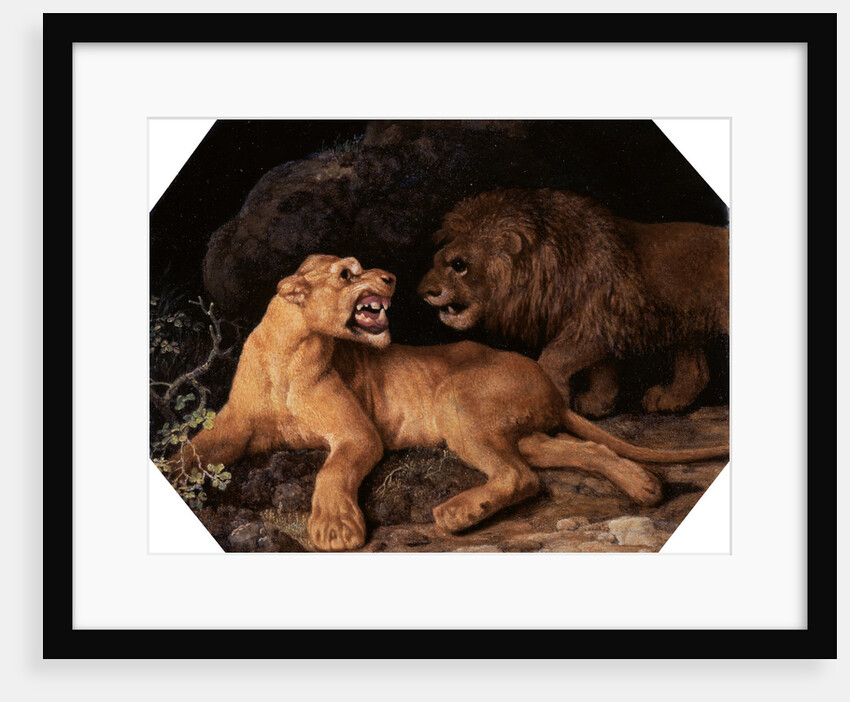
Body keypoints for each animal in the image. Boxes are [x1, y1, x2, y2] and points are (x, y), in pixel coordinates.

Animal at [170, 254, 727, 552]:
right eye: (347, 274)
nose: (391, 278)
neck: (288, 348)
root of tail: (545, 379)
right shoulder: (234, 429)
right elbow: (191, 452)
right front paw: (171, 472)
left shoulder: (357, 434)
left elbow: (332, 472)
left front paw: (334, 527)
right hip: (522, 431)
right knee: (578, 453)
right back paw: (645, 487)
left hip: (456, 402)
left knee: (519, 477)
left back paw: (458, 513)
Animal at [417, 188, 729, 417]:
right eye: (436, 260)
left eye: (459, 265)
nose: (422, 291)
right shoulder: (596, 326)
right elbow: (601, 370)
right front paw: (596, 404)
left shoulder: (598, 323)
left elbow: (554, 358)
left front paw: (556, 398)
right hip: (687, 329)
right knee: (696, 371)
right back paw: (667, 399)